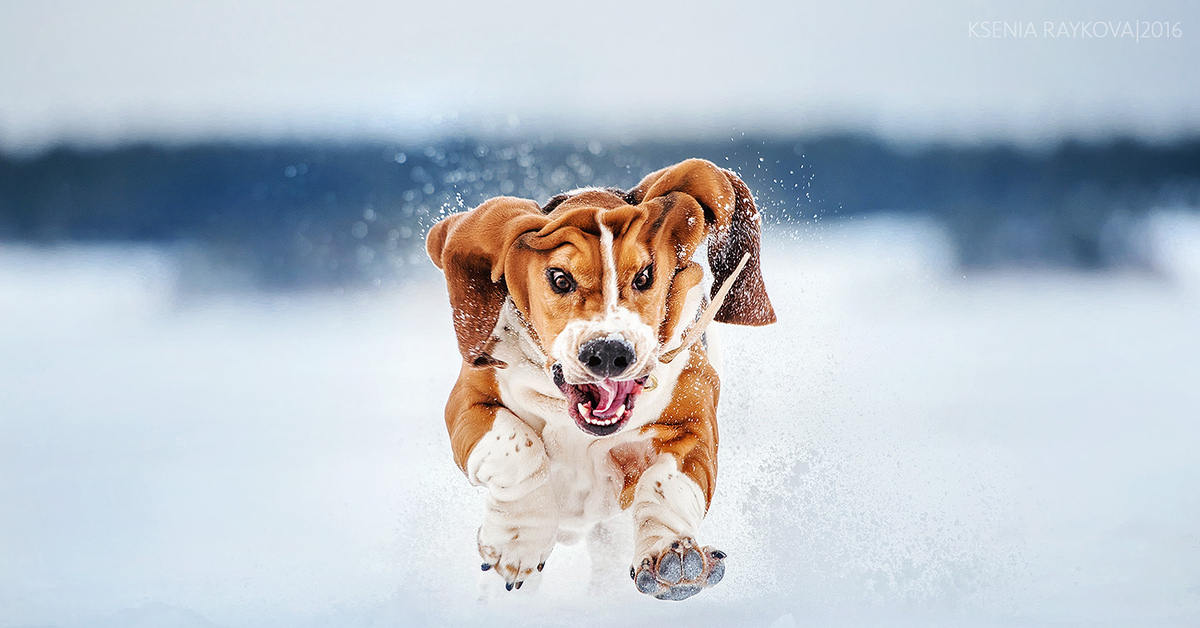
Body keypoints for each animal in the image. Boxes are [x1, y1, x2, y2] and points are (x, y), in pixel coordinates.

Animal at [427, 159, 772, 602]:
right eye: (559, 279)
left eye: (644, 276)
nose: (608, 352)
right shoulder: (470, 401)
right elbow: (518, 444)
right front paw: (517, 541)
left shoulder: (692, 423)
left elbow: (666, 482)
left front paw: (673, 557)